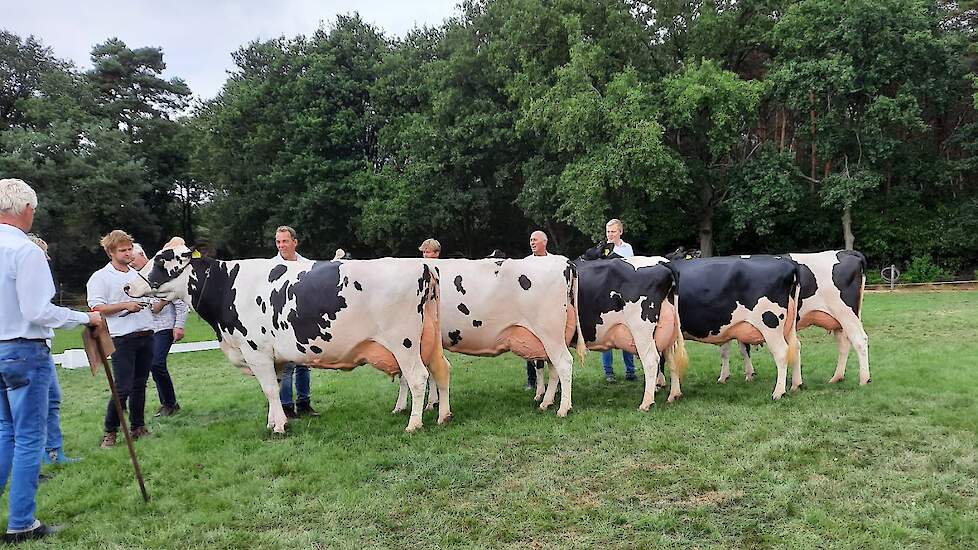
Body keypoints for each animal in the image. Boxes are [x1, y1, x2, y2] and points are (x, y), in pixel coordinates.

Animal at [123, 246, 454, 436]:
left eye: (160, 260)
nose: (127, 286)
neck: (227, 285)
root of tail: (421, 265)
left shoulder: (255, 351)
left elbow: (269, 389)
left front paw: (279, 428)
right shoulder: (274, 357)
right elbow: (275, 388)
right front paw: (275, 421)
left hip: (403, 342)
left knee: (417, 377)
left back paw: (414, 424)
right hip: (427, 339)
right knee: (441, 369)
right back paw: (443, 415)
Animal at [392, 256, 584, 420]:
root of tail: (564, 261)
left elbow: (406, 376)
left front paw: (401, 407)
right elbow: (428, 373)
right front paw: (431, 403)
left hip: (550, 331)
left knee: (564, 363)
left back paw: (563, 409)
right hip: (549, 338)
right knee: (554, 367)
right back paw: (546, 403)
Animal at [572, 258, 688, 410]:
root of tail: (661, 262)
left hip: (641, 329)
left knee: (651, 360)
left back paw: (646, 403)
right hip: (668, 331)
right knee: (671, 360)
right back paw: (673, 395)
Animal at [656, 254, 800, 402]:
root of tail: (788, 263)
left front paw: (660, 386)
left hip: (770, 324)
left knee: (781, 352)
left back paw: (779, 392)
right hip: (787, 326)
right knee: (795, 347)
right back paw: (795, 385)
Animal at [712, 252, 864, 386]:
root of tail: (847, 252)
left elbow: (734, 349)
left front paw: (729, 377)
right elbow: (734, 350)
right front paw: (738, 375)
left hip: (846, 313)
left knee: (859, 340)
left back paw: (863, 380)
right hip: (839, 321)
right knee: (844, 343)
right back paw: (836, 378)